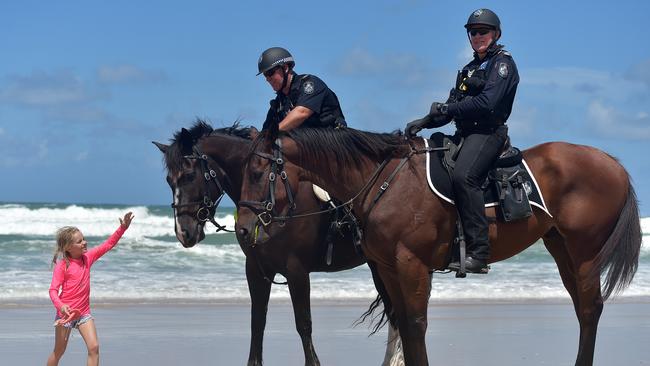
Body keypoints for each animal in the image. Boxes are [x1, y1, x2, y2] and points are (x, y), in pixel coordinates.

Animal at [154, 122, 402, 366]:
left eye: (188, 175)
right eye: (168, 181)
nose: (183, 233)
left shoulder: (296, 270)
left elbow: (303, 323)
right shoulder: (256, 269)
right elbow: (257, 322)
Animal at [235, 124, 640, 364]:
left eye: (256, 172)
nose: (242, 228)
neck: (384, 179)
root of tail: (612, 163)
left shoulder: (411, 265)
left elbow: (415, 325)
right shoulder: (388, 268)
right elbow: (403, 323)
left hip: (585, 253)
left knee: (590, 309)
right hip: (562, 250)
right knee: (584, 310)